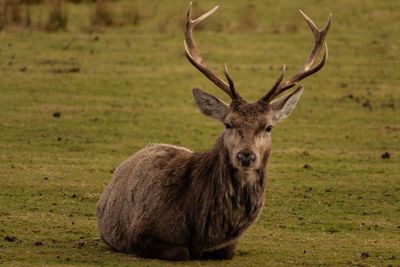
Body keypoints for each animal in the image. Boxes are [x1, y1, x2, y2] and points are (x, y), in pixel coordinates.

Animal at [96, 2, 332, 262]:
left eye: (268, 126)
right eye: (228, 123)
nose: (246, 156)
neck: (202, 228)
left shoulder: (228, 246)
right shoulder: (141, 232)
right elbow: (182, 252)